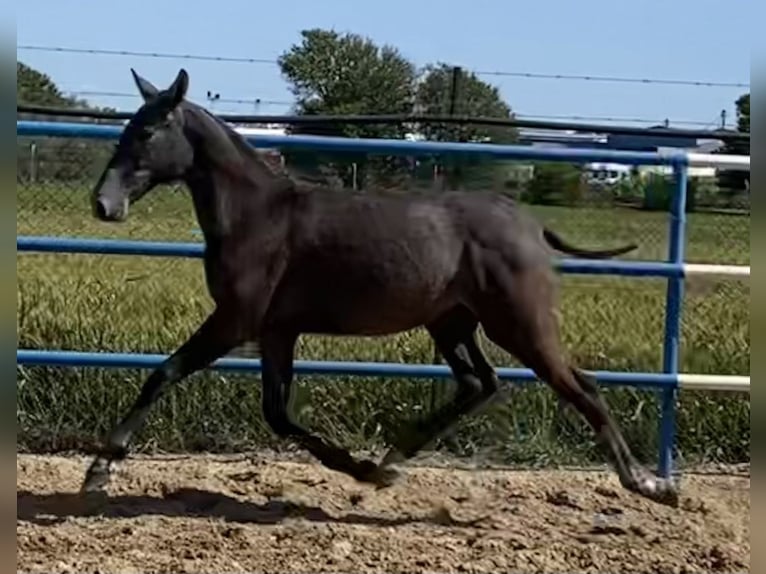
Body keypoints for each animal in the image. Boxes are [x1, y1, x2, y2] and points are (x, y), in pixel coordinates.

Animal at [84, 68, 680, 508]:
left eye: (146, 132)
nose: (103, 203)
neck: (257, 215)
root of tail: (530, 225)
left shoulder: (236, 321)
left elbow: (164, 374)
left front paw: (100, 468)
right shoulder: (276, 331)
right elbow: (277, 414)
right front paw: (366, 470)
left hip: (520, 324)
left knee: (581, 387)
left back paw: (650, 485)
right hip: (452, 323)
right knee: (479, 384)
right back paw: (396, 457)